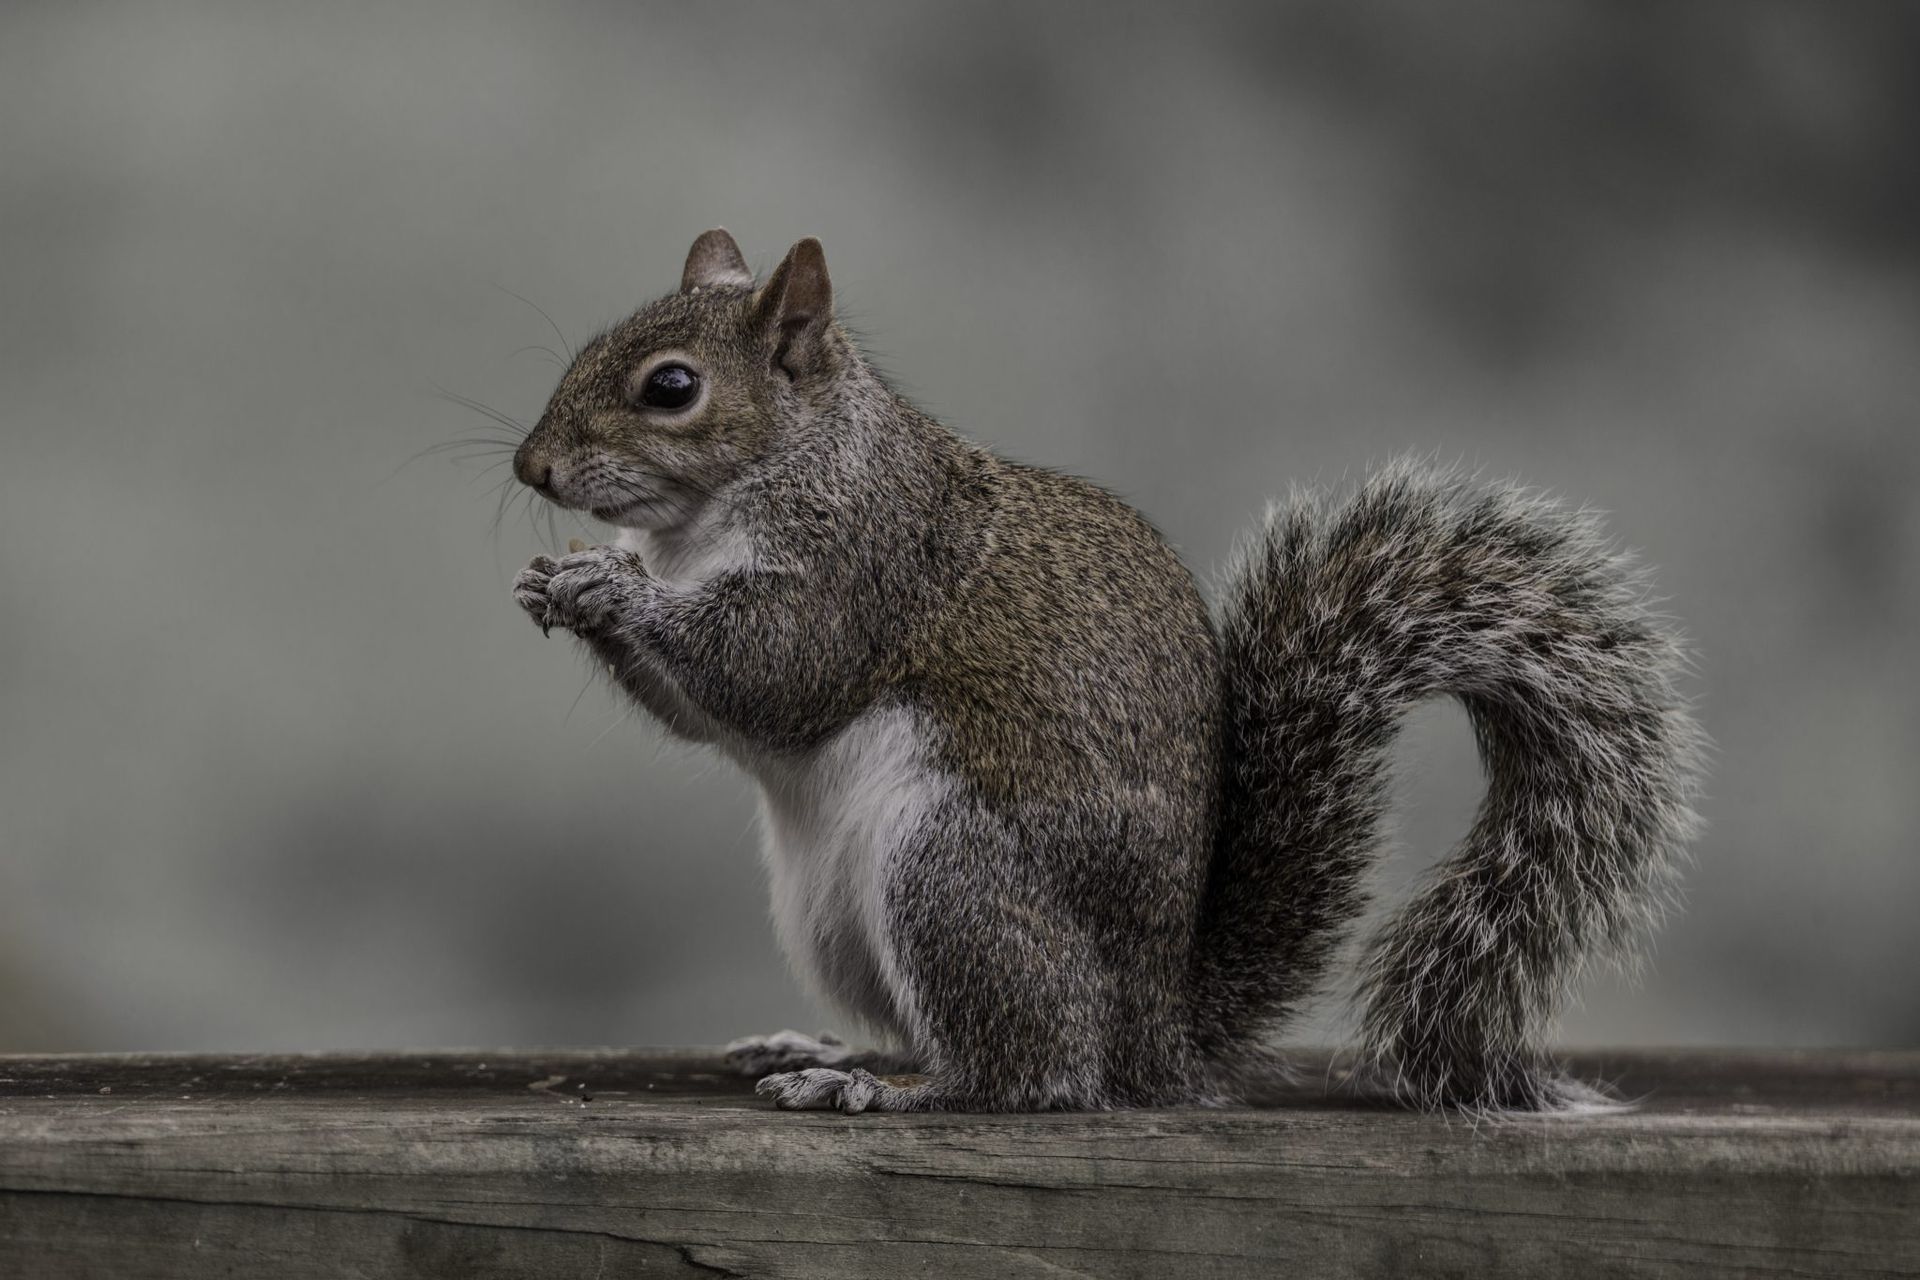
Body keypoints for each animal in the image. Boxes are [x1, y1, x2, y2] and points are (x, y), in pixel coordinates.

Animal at [507, 229, 1704, 1114]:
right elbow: (703, 712)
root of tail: (1152, 1033)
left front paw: (610, 590)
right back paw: (829, 1048)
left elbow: (769, 672)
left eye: (672, 387)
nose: (532, 467)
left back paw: (888, 1089)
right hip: (833, 918)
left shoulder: (861, 569)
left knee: (1035, 1071)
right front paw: (559, 579)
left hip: (953, 874)